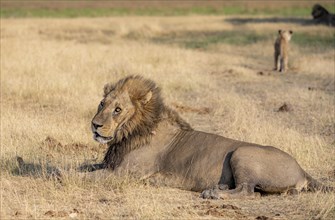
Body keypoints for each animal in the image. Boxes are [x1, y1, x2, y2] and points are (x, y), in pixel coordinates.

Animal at [80, 75, 334, 199]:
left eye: (118, 109)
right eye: (102, 103)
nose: (95, 125)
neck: (128, 132)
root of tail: (302, 169)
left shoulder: (123, 174)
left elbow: (82, 176)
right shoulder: (112, 165)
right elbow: (86, 168)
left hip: (242, 152)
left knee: (248, 192)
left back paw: (214, 194)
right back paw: (219, 187)